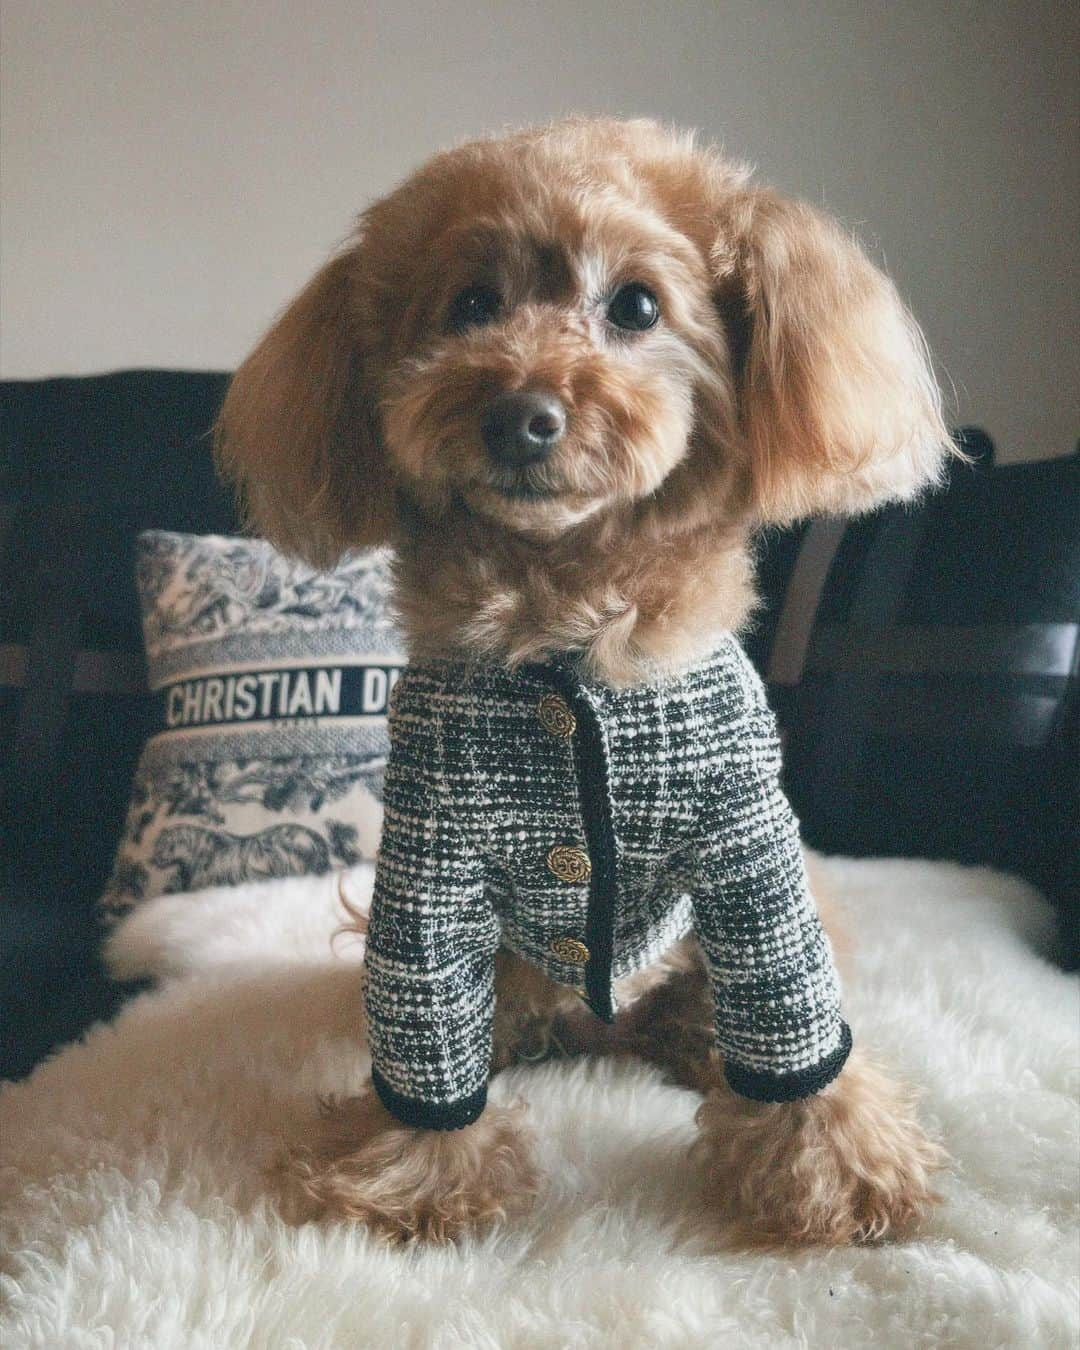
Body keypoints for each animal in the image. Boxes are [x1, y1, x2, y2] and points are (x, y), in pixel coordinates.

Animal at [214, 116, 950, 1242]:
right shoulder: (430, 863)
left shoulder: (744, 843)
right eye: (472, 304)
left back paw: (697, 1043)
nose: (521, 413)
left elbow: (790, 1009)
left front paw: (839, 1170)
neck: (567, 631)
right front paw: (416, 1175)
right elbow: (426, 1027)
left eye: (637, 305)